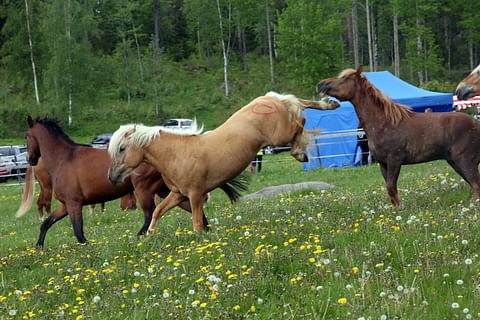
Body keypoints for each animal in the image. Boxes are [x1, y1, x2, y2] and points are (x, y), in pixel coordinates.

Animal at [107, 91, 340, 234]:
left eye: (121, 148)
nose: (111, 177)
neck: (177, 153)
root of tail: (266, 100)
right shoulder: (178, 194)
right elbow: (157, 212)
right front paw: (150, 235)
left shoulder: (196, 195)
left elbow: (197, 223)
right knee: (298, 104)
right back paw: (329, 104)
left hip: (280, 135)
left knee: (301, 119)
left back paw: (301, 151)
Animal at [316, 66, 480, 206]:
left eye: (345, 78)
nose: (321, 85)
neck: (384, 123)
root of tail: (476, 123)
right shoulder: (383, 163)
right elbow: (390, 189)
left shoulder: (394, 160)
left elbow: (391, 187)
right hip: (455, 162)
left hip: (465, 162)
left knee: (476, 185)